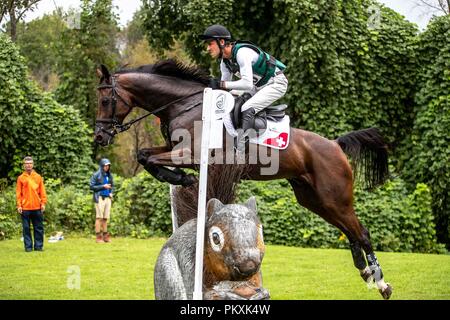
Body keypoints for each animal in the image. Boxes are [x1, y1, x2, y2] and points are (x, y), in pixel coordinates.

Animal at [96, 58, 394, 298]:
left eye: (105, 101)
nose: (100, 137)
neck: (185, 106)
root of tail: (335, 144)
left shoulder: (191, 154)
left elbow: (149, 159)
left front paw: (183, 178)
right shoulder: (174, 150)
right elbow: (143, 154)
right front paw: (180, 178)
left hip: (334, 197)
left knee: (361, 232)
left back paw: (381, 283)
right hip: (315, 200)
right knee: (351, 231)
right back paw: (365, 272)